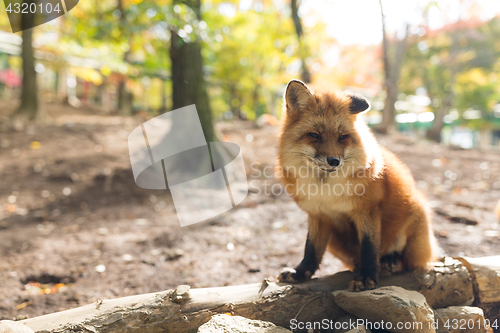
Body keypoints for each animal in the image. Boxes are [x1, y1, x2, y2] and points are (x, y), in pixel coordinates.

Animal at [276, 79, 436, 290]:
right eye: (315, 135)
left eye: (342, 137)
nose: (334, 161)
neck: (325, 191)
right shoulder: (317, 215)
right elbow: (311, 250)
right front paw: (300, 273)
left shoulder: (367, 211)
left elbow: (369, 248)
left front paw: (368, 277)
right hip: (335, 242)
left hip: (416, 214)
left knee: (409, 262)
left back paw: (390, 262)